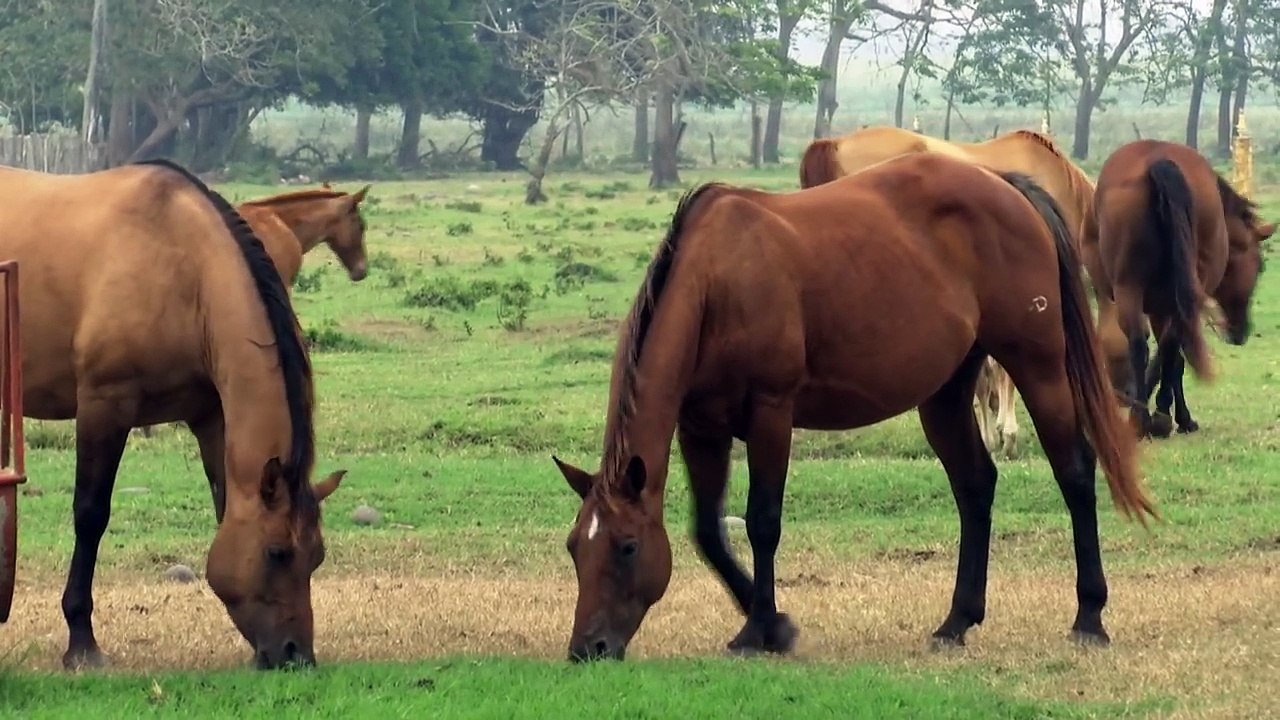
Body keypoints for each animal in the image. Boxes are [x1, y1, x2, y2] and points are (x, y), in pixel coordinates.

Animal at [0, 159, 347, 670]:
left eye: (317, 557)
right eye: (277, 552)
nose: (294, 654)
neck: (182, 268)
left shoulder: (209, 416)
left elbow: (224, 504)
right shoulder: (104, 407)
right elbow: (90, 515)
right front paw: (81, 642)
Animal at [1081, 139, 1272, 438]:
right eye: (1260, 267)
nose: (1241, 332)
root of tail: (1160, 161)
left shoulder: (1158, 305)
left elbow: (1169, 357)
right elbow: (1172, 357)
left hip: (1130, 287)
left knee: (1142, 343)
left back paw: (1147, 417)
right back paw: (1150, 416)